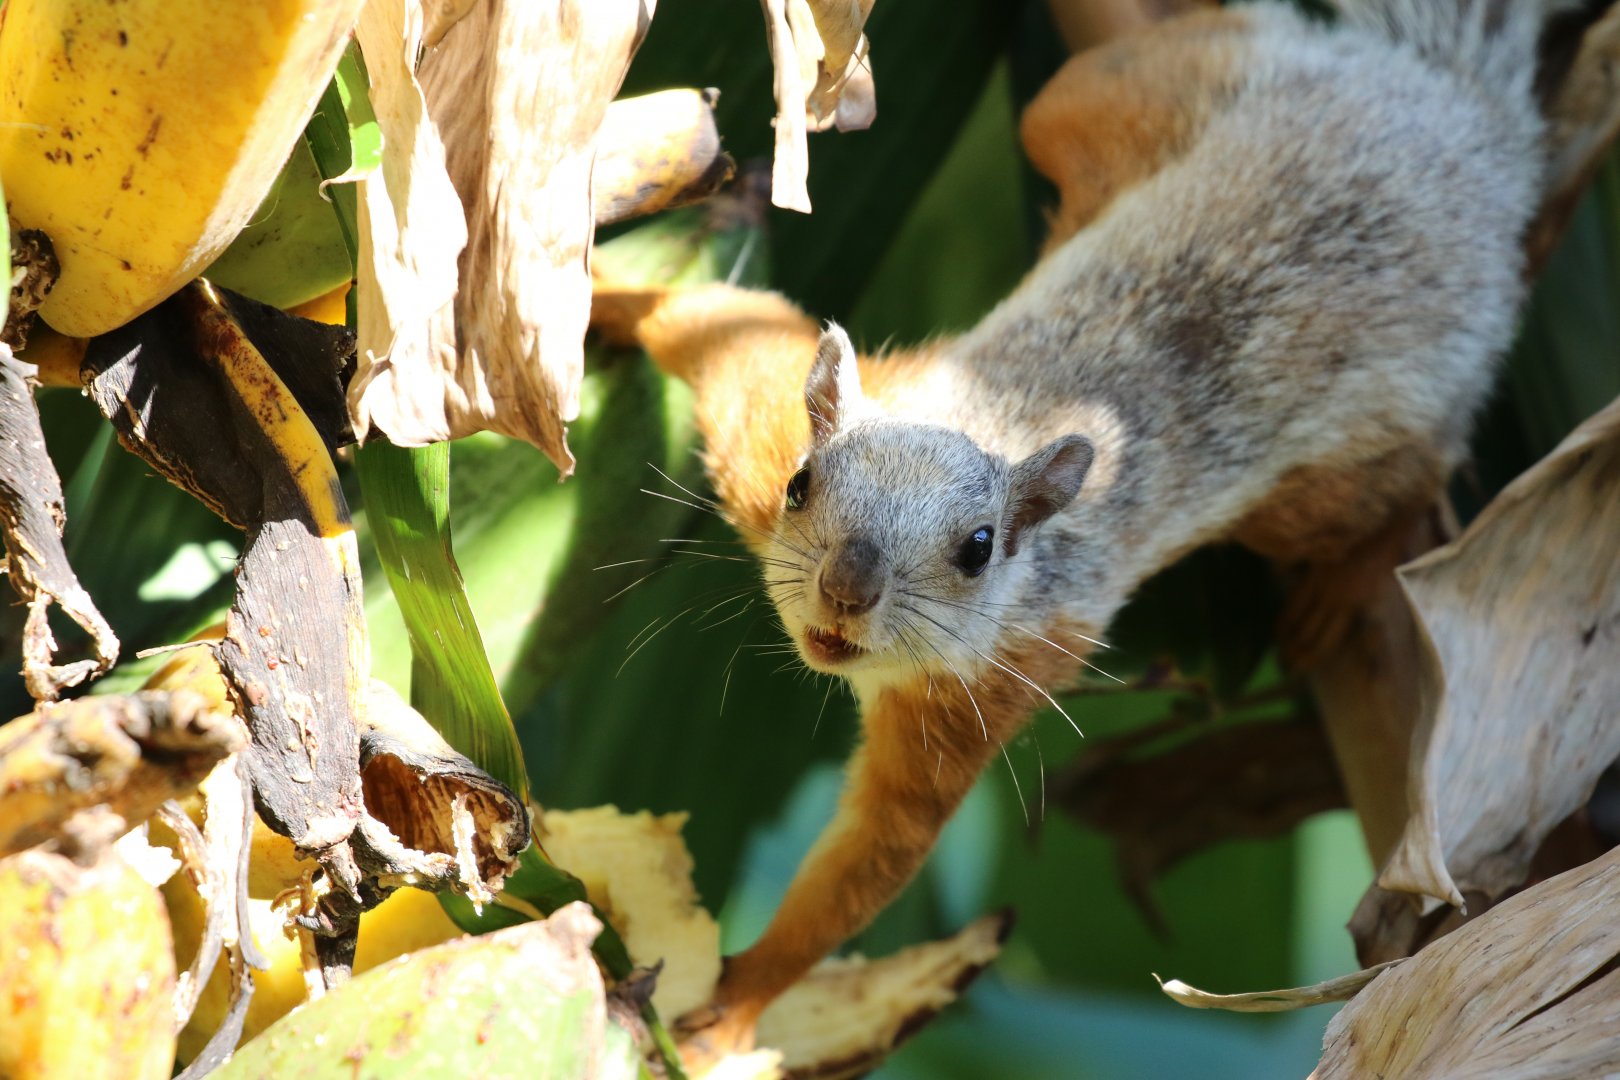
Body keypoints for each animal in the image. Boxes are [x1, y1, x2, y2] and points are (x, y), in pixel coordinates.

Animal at [592, 0, 1559, 1059]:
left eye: (979, 550)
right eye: (805, 486)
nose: (846, 592)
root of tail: (1452, 116)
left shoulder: (993, 682)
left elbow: (875, 856)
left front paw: (737, 1010)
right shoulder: (758, 441)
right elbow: (713, 323)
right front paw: (588, 297)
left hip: (1344, 459)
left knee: (1407, 475)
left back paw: (1348, 581)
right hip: (1127, 100)